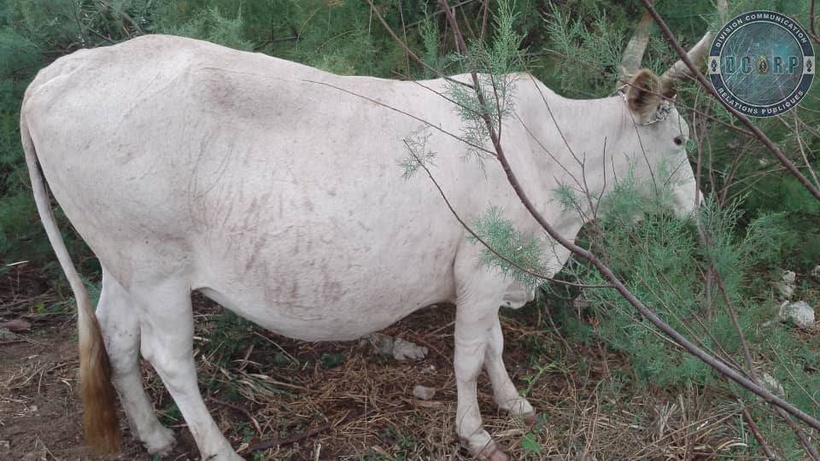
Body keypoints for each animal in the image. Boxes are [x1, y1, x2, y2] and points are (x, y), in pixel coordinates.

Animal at [21, 34, 704, 460]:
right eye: (678, 139)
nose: (698, 203)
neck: (549, 153)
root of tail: (59, 72)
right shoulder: (482, 267)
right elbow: (467, 356)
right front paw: (476, 433)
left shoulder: (491, 266)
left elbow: (493, 346)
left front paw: (514, 403)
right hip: (157, 266)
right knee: (169, 357)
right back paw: (218, 448)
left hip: (121, 259)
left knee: (115, 335)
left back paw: (155, 434)